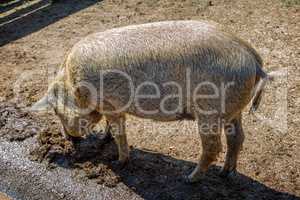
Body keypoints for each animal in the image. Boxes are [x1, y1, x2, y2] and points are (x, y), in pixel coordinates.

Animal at [32, 20, 270, 183]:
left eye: (56, 112)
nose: (69, 138)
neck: (75, 86)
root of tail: (253, 58)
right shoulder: (112, 107)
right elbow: (111, 127)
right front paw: (103, 139)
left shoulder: (110, 104)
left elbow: (119, 132)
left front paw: (118, 162)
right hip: (233, 110)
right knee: (237, 138)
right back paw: (225, 174)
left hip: (209, 110)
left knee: (213, 146)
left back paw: (188, 178)